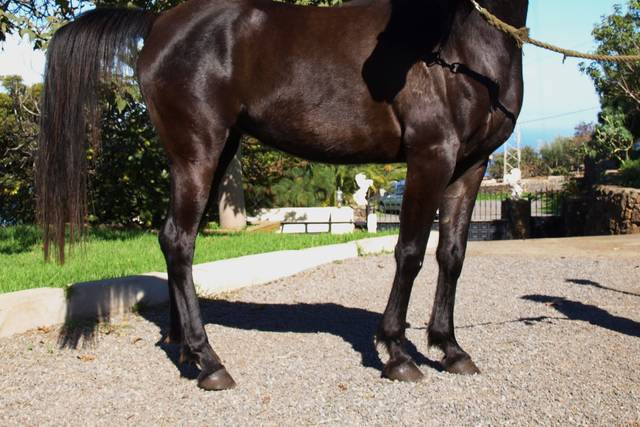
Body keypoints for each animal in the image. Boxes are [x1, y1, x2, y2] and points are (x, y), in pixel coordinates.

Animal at [36, 0, 528, 390]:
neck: (460, 46)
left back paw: (184, 350)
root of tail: (159, 21)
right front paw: (397, 353)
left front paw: (450, 349)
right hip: (198, 152)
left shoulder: (471, 165)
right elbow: (409, 253)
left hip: (212, 153)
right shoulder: (431, 157)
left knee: (175, 239)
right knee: (178, 240)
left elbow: (452, 255)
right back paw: (209, 361)